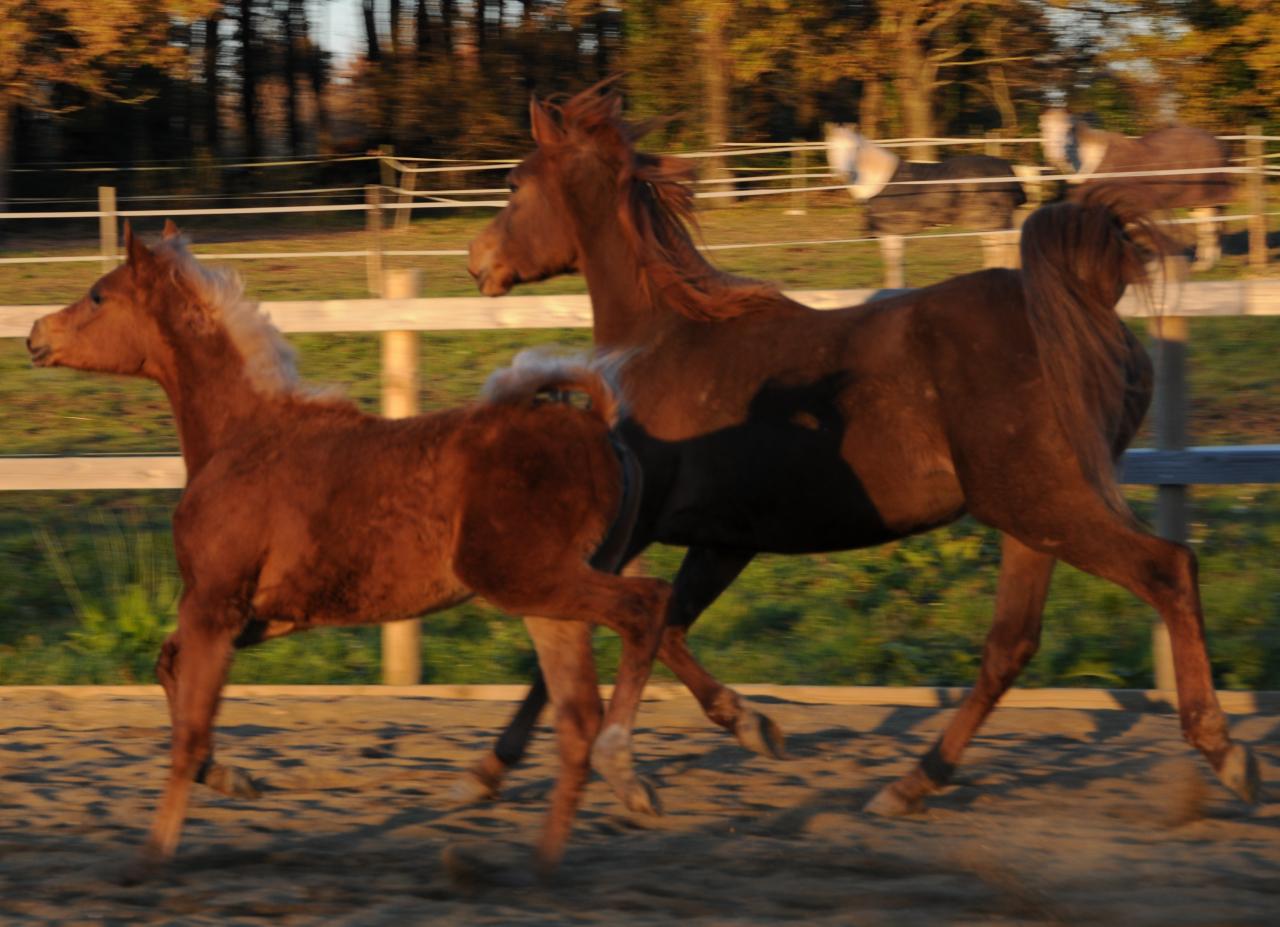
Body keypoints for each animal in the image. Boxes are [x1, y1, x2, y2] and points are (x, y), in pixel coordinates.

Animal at [27, 222, 670, 875]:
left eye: (99, 296)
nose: (35, 333)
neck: (242, 438)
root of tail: (596, 424)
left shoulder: (213, 606)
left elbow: (188, 731)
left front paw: (155, 852)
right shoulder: (257, 616)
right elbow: (170, 674)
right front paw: (235, 780)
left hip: (530, 582)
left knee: (646, 607)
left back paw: (624, 773)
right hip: (546, 603)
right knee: (577, 717)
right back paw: (540, 863)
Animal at [463, 81, 1259, 819]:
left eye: (514, 184)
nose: (478, 262)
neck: (662, 342)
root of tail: (1087, 300)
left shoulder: (641, 524)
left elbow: (604, 635)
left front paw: (506, 767)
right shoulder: (724, 539)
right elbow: (666, 626)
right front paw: (751, 724)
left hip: (1046, 502)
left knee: (1167, 570)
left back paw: (1223, 750)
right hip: (1031, 514)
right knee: (1011, 645)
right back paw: (912, 783)